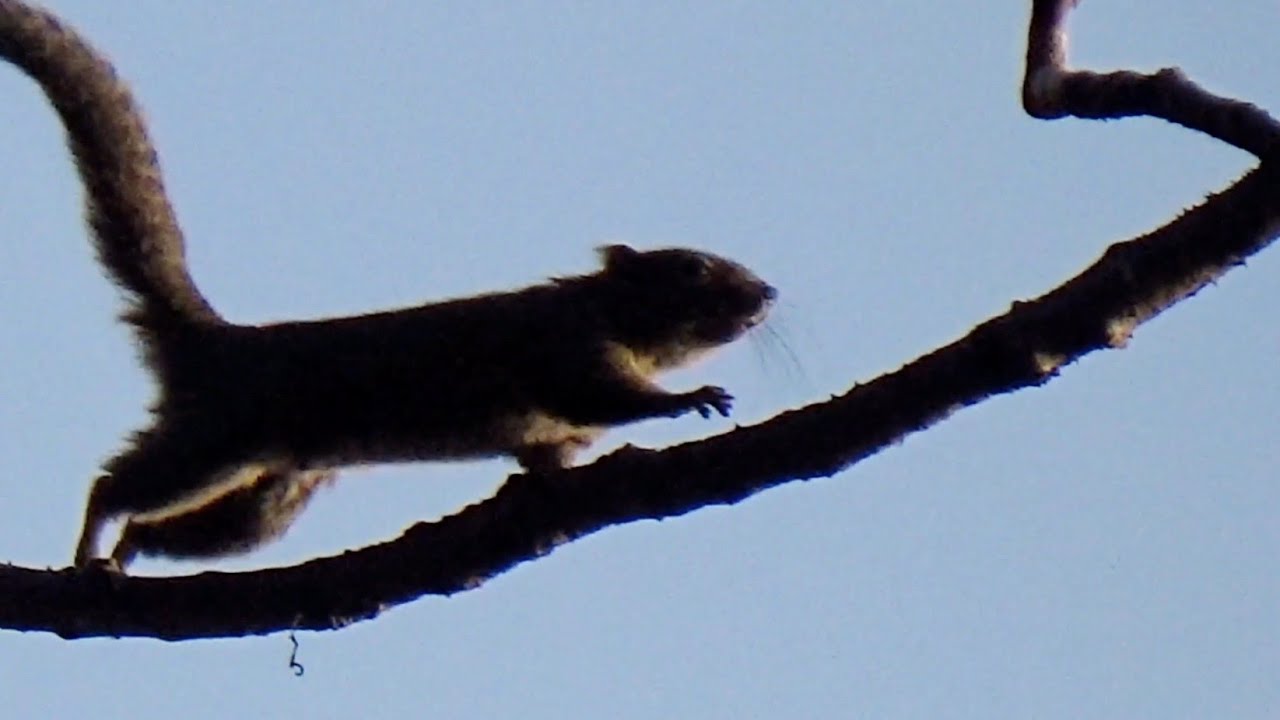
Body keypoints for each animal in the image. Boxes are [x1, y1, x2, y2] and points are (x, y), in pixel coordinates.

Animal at [0, 1, 776, 570]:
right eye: (692, 267)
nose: (766, 296)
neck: (610, 315)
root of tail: (213, 340)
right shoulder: (565, 348)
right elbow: (600, 396)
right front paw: (690, 400)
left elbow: (546, 456)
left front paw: (543, 476)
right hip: (216, 436)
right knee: (116, 483)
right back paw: (91, 541)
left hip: (266, 496)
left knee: (169, 527)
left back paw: (126, 551)